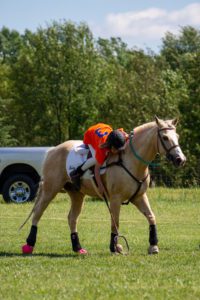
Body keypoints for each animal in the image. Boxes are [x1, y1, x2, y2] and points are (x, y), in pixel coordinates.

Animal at [20, 117, 186, 255]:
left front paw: (153, 246)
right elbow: (115, 222)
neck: (129, 160)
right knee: (38, 213)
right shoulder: (115, 198)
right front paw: (115, 247)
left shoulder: (139, 196)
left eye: (177, 137)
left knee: (72, 218)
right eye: (165, 137)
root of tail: (53, 150)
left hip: (77, 194)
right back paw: (29, 245)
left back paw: (78, 248)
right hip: (50, 189)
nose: (180, 159)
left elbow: (151, 217)